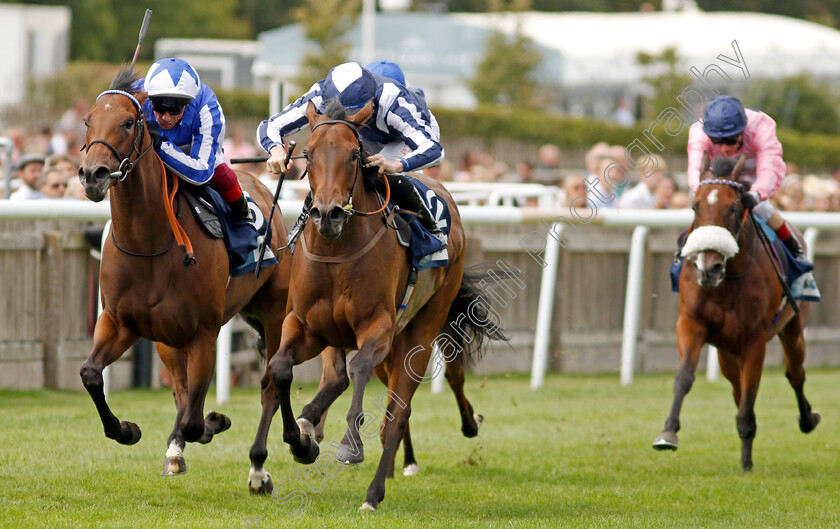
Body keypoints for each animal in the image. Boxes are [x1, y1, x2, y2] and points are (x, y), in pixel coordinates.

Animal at [79, 66, 294, 478]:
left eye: (128, 122)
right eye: (87, 120)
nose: (92, 175)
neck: (149, 244)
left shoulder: (204, 333)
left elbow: (196, 419)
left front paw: (213, 422)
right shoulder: (119, 321)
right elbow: (91, 374)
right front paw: (127, 430)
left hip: (274, 313)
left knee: (272, 382)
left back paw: (283, 452)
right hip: (167, 338)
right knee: (182, 390)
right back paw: (176, 450)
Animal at [260, 97, 502, 510]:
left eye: (354, 155)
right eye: (308, 154)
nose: (328, 214)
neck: (338, 251)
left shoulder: (378, 327)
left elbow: (359, 370)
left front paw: (349, 445)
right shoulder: (305, 325)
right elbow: (280, 368)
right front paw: (300, 440)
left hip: (421, 329)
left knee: (401, 411)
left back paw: (376, 491)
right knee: (366, 394)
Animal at [648, 154, 820, 470]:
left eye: (733, 207)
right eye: (695, 206)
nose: (708, 267)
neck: (726, 280)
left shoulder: (754, 340)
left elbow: (752, 394)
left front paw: (747, 462)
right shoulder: (691, 324)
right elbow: (684, 378)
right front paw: (668, 433)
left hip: (793, 328)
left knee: (795, 373)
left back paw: (807, 419)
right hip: (727, 352)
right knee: (737, 386)